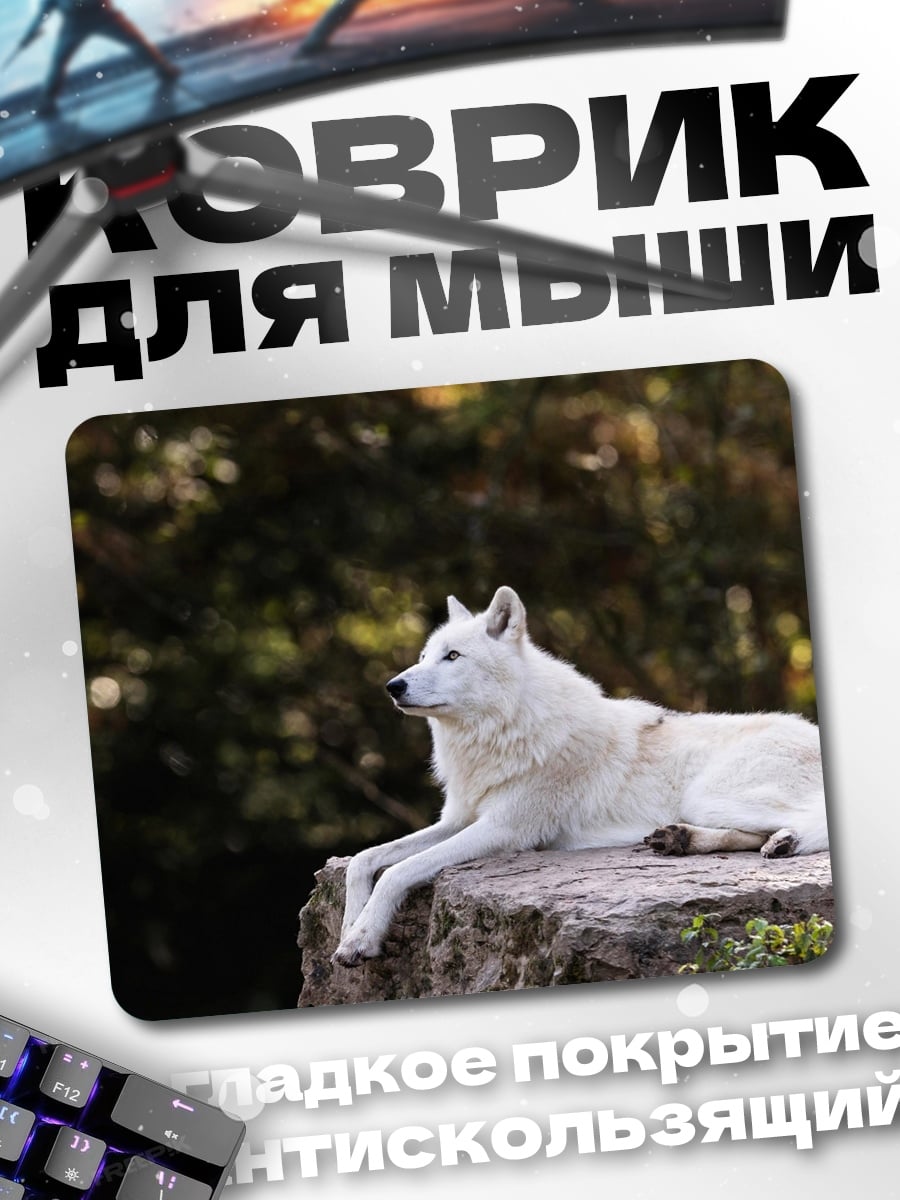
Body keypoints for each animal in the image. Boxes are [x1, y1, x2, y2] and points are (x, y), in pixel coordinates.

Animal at [332, 586, 828, 967]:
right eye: (423, 657)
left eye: (453, 656)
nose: (393, 686)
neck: (502, 732)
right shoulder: (458, 819)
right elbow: (364, 860)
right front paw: (348, 927)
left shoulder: (504, 829)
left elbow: (398, 871)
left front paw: (362, 938)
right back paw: (683, 839)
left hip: (707, 794)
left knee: (806, 823)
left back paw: (783, 842)